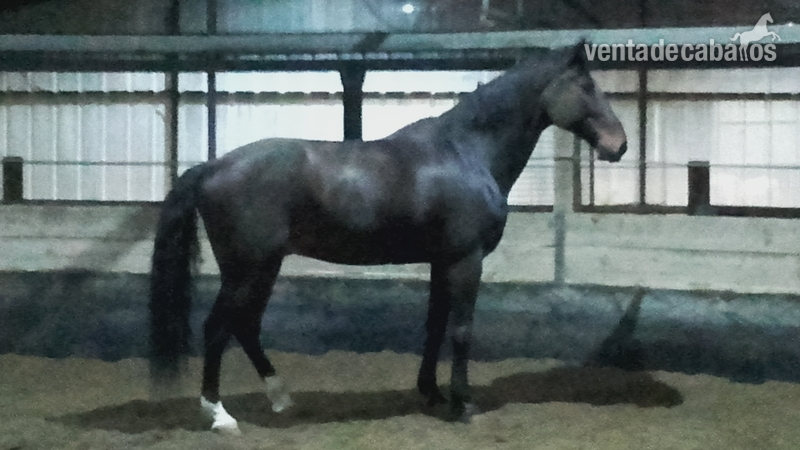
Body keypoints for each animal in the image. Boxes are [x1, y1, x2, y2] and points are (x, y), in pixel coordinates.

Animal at [148, 41, 628, 433]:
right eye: (586, 86)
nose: (619, 145)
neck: (466, 152)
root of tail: (211, 167)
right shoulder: (466, 259)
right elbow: (461, 330)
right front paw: (463, 404)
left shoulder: (441, 260)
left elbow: (434, 326)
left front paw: (431, 393)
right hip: (246, 270)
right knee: (217, 328)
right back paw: (220, 415)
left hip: (264, 267)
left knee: (245, 326)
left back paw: (281, 398)